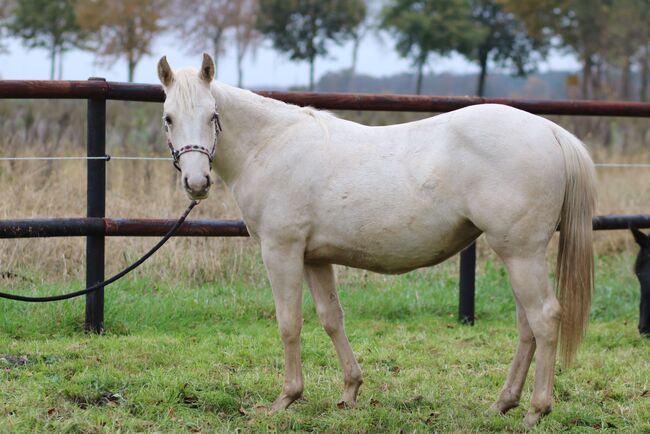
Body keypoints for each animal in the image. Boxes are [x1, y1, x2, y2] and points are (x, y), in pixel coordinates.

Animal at [156, 54, 592, 428]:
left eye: (212, 116)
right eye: (168, 119)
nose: (197, 183)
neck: (270, 146)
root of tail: (551, 131)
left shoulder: (282, 251)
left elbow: (289, 323)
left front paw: (286, 398)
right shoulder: (315, 258)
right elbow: (332, 319)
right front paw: (350, 391)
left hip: (521, 254)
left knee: (545, 318)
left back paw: (536, 410)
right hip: (516, 255)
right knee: (526, 327)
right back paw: (503, 403)